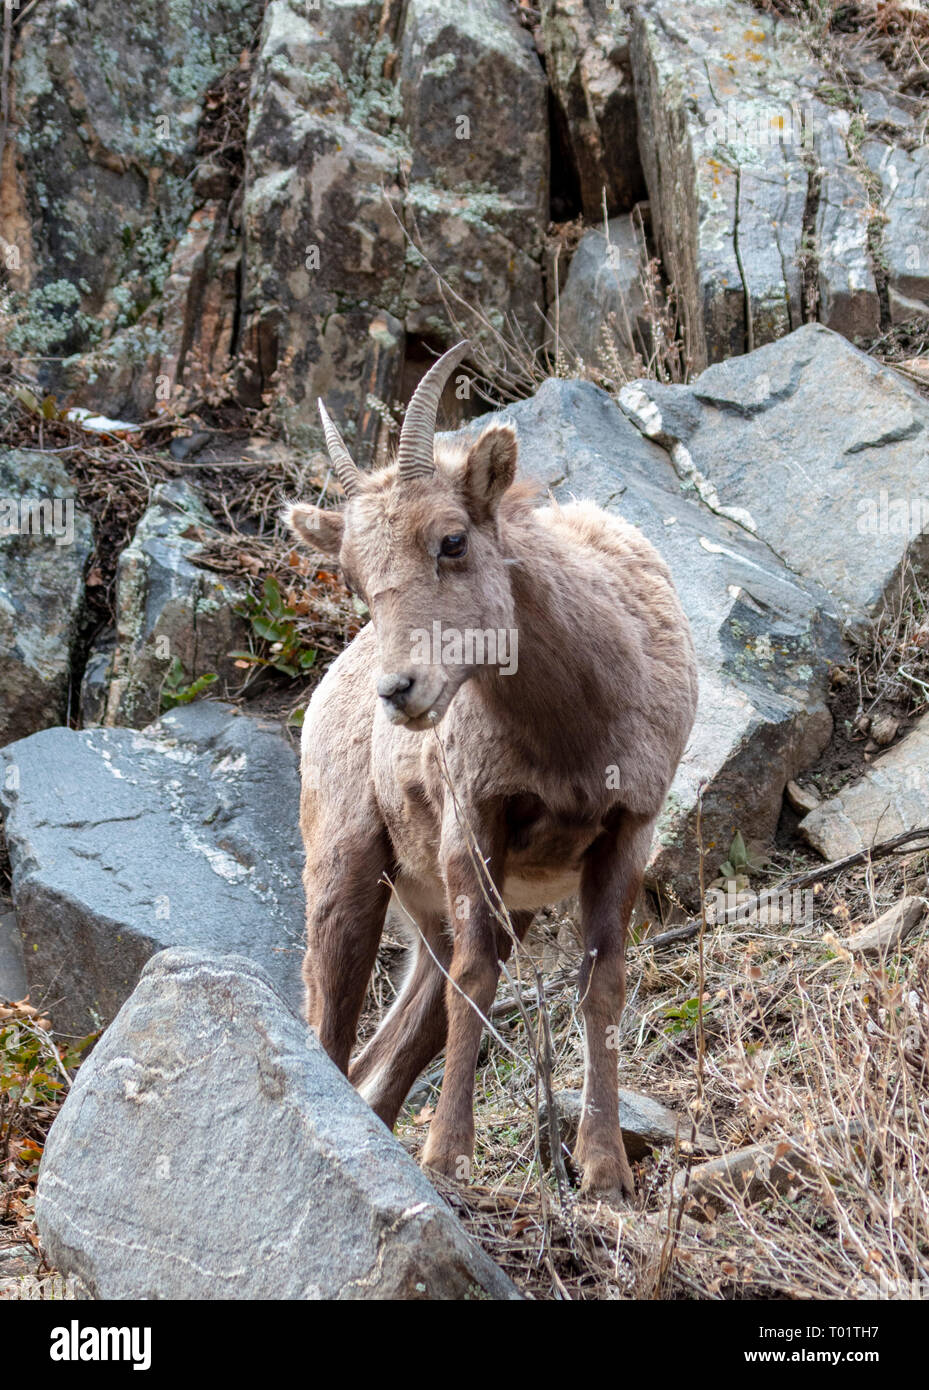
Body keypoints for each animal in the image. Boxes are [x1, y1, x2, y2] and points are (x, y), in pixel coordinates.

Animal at [283, 341, 695, 1200]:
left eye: (451, 541)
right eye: (355, 576)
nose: (400, 692)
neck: (574, 724)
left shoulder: (625, 831)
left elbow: (601, 985)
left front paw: (603, 1171)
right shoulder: (475, 824)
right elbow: (475, 983)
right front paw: (447, 1156)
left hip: (434, 920)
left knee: (387, 1051)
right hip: (346, 874)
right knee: (330, 1028)